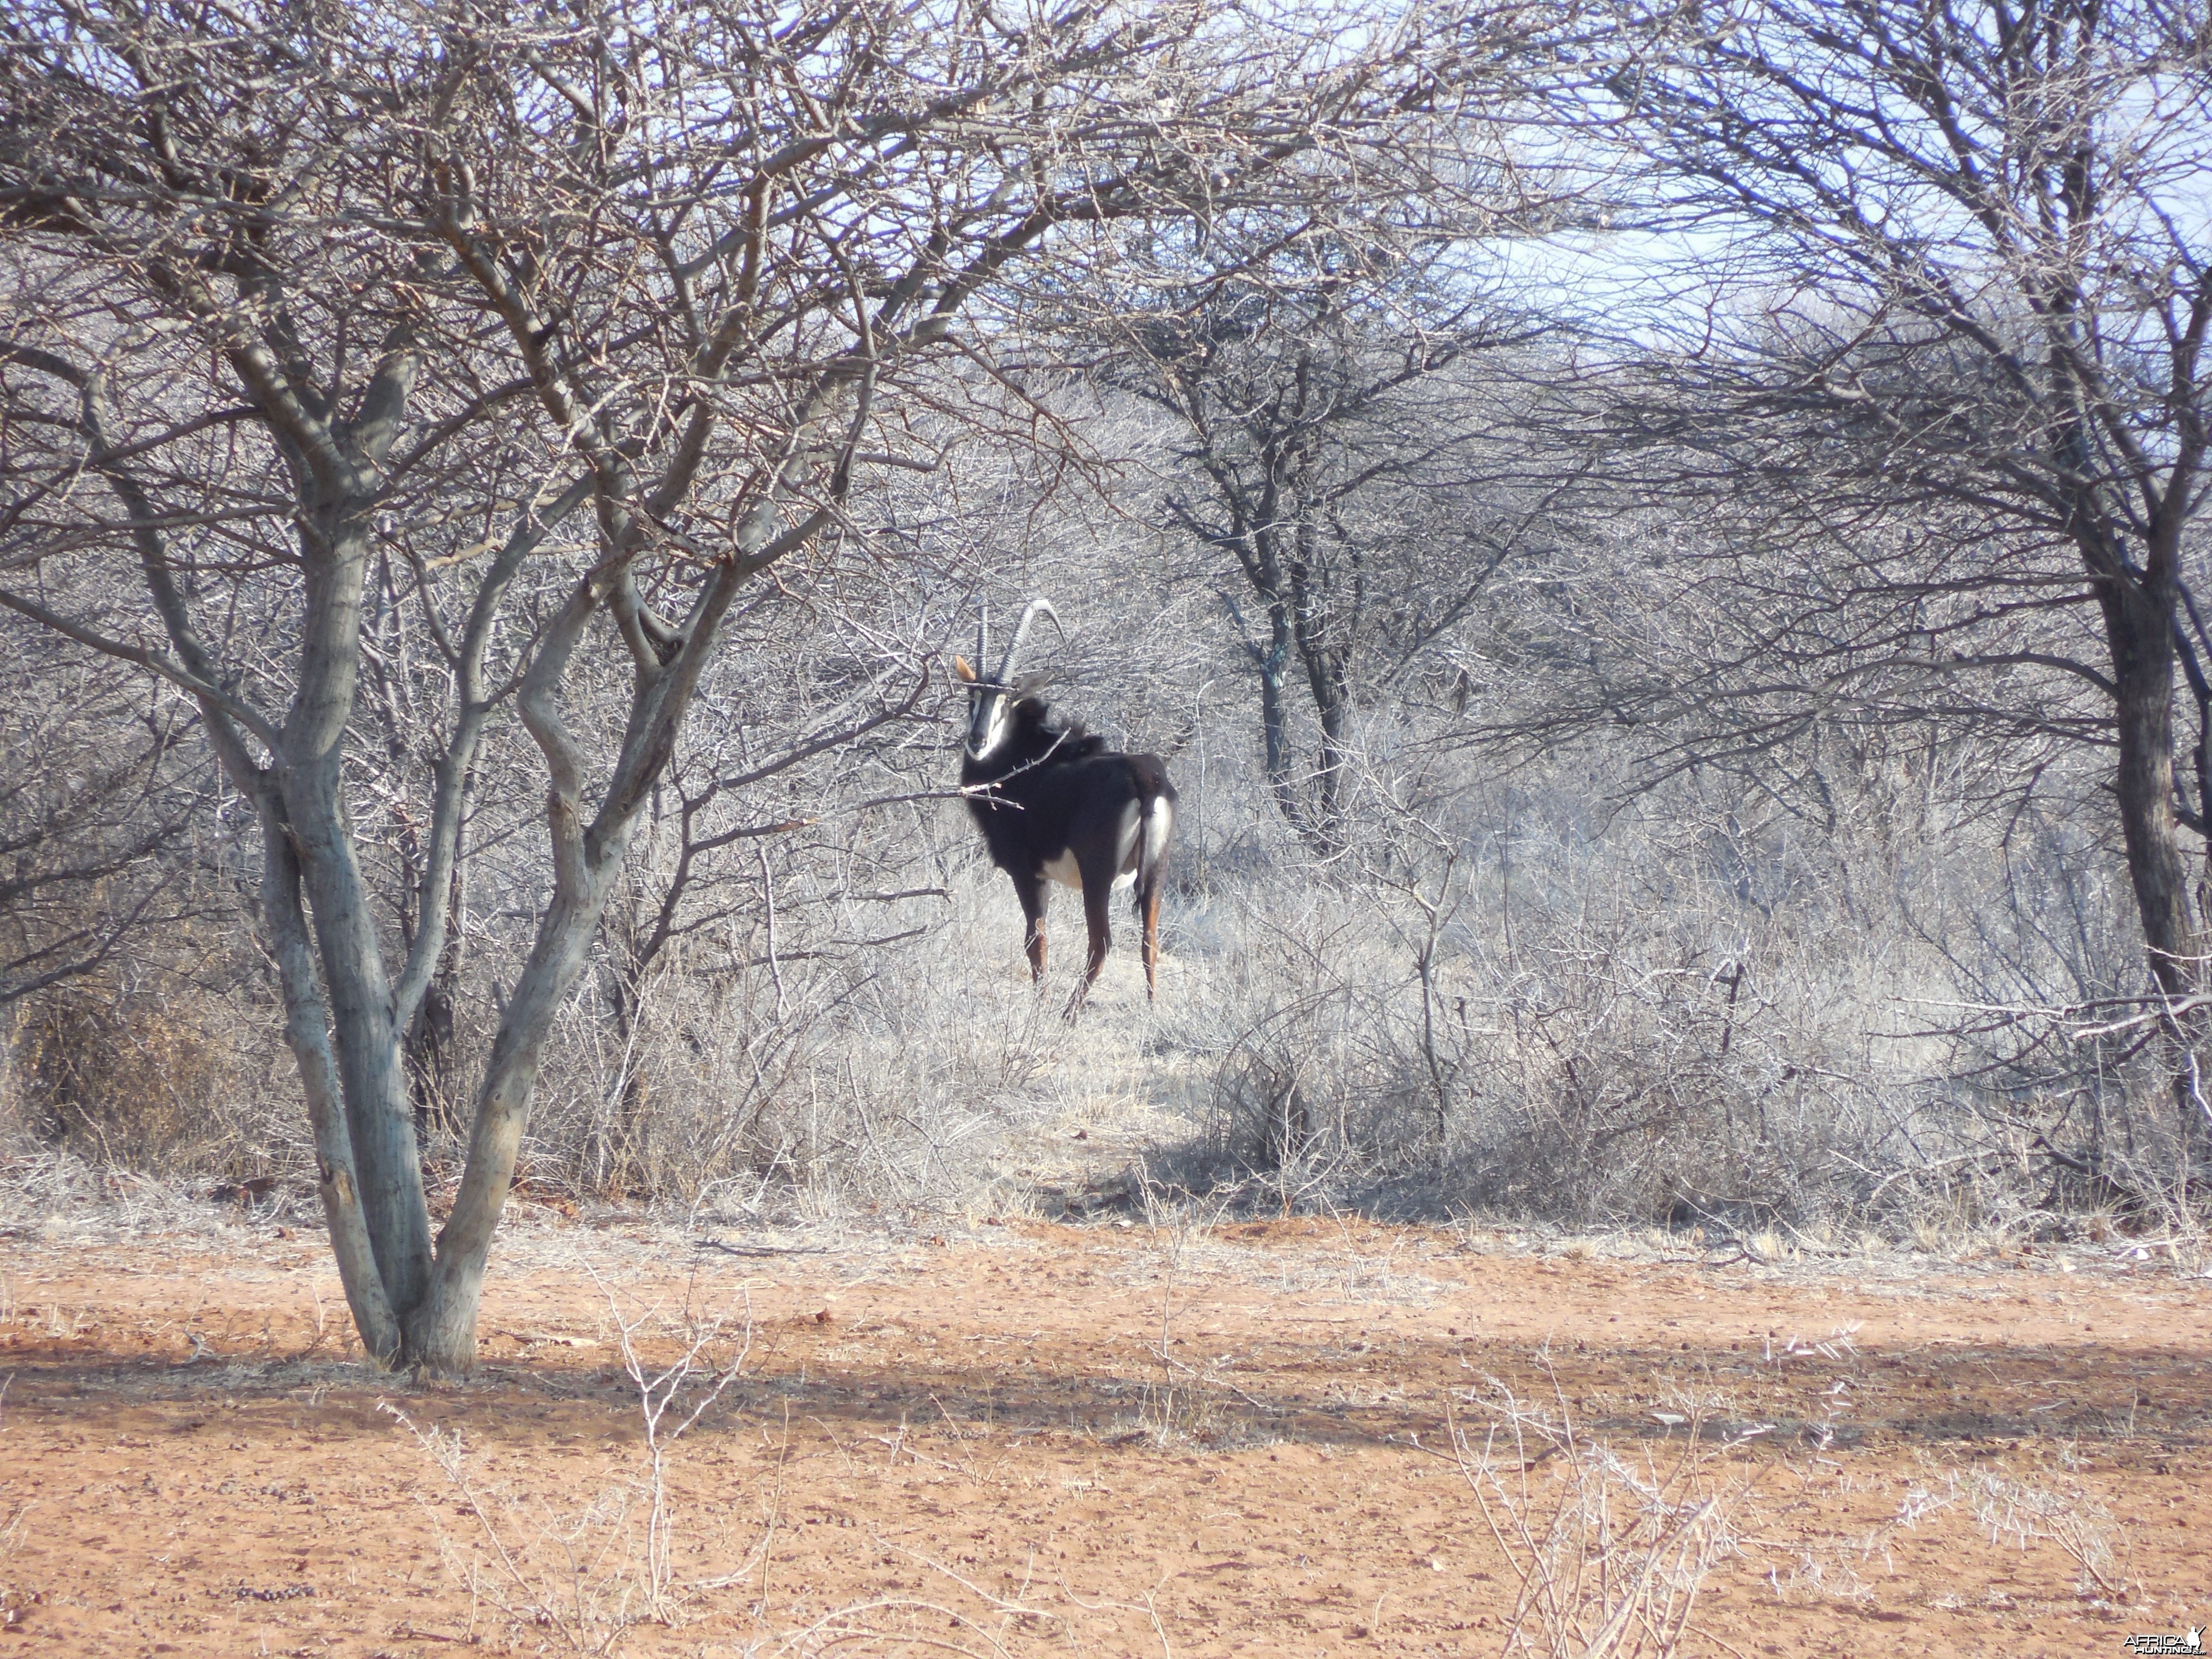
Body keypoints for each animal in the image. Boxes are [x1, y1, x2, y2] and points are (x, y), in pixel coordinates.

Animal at [960, 601, 1185, 1013]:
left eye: (1007, 701)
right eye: (972, 699)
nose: (978, 741)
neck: (1024, 758)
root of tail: (1146, 778)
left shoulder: (1027, 872)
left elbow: (1035, 939)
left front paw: (1040, 1006)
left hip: (1098, 873)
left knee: (1102, 942)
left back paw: (1069, 1014)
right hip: (1158, 870)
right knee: (1150, 939)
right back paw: (1152, 1010)